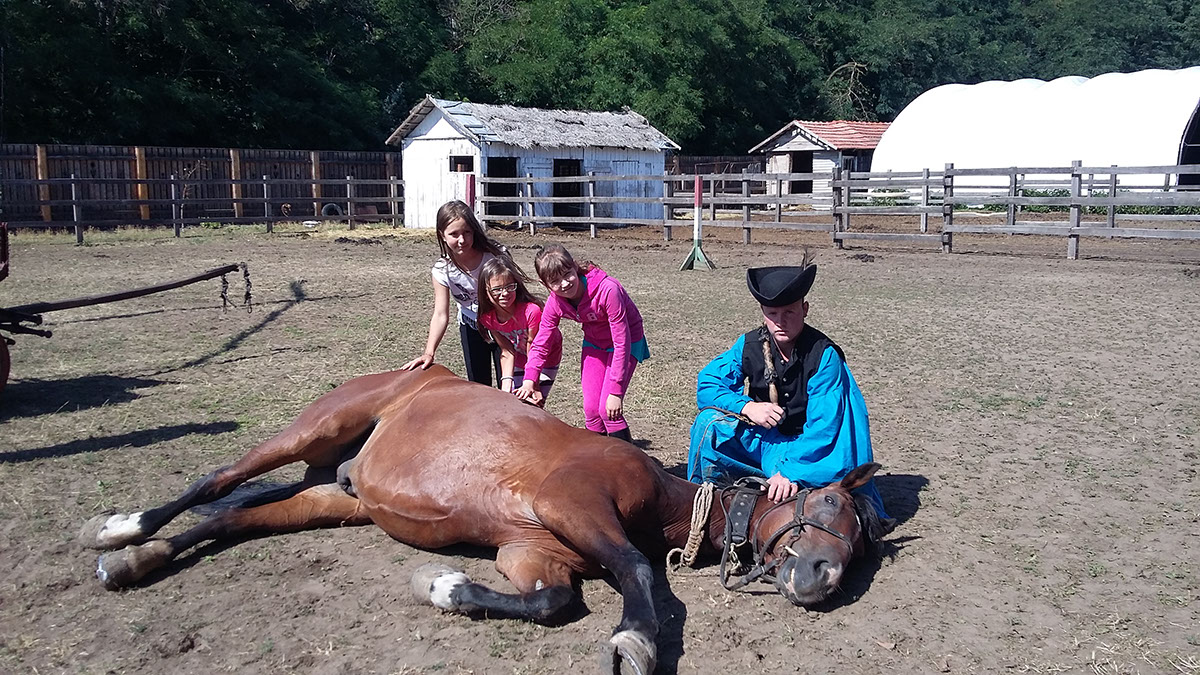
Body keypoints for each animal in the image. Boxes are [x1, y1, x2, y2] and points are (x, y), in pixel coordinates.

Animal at [79, 365, 893, 675]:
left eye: (860, 544)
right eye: (828, 504)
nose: (822, 577)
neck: (662, 496)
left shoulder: (533, 552)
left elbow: (550, 600)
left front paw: (442, 587)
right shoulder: (574, 504)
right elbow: (635, 571)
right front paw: (633, 640)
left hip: (336, 497)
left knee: (233, 517)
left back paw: (139, 559)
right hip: (315, 429)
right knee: (218, 480)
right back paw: (122, 529)